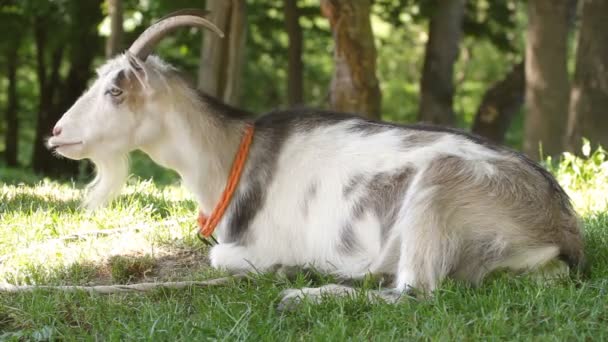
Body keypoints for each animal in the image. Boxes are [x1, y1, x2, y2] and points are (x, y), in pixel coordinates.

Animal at [48, 10, 584, 304]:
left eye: (116, 90)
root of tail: (560, 232)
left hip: (439, 192)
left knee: (415, 294)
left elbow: (222, 256)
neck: (233, 155)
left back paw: (301, 292)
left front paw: (287, 270)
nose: (56, 134)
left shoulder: (256, 245)